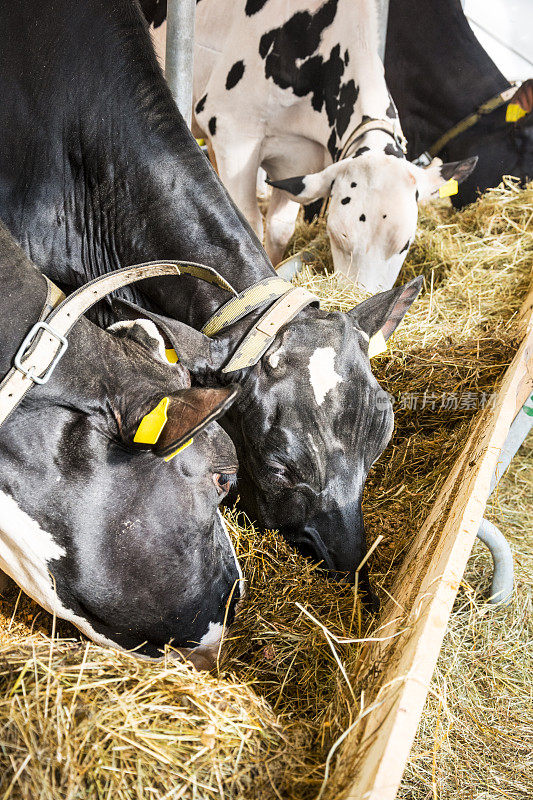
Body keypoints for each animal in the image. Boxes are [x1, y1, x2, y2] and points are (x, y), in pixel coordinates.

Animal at [148, 0, 476, 290]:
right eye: (337, 236)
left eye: (405, 244)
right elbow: (250, 224)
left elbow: (280, 229)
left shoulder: (298, 159)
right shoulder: (233, 130)